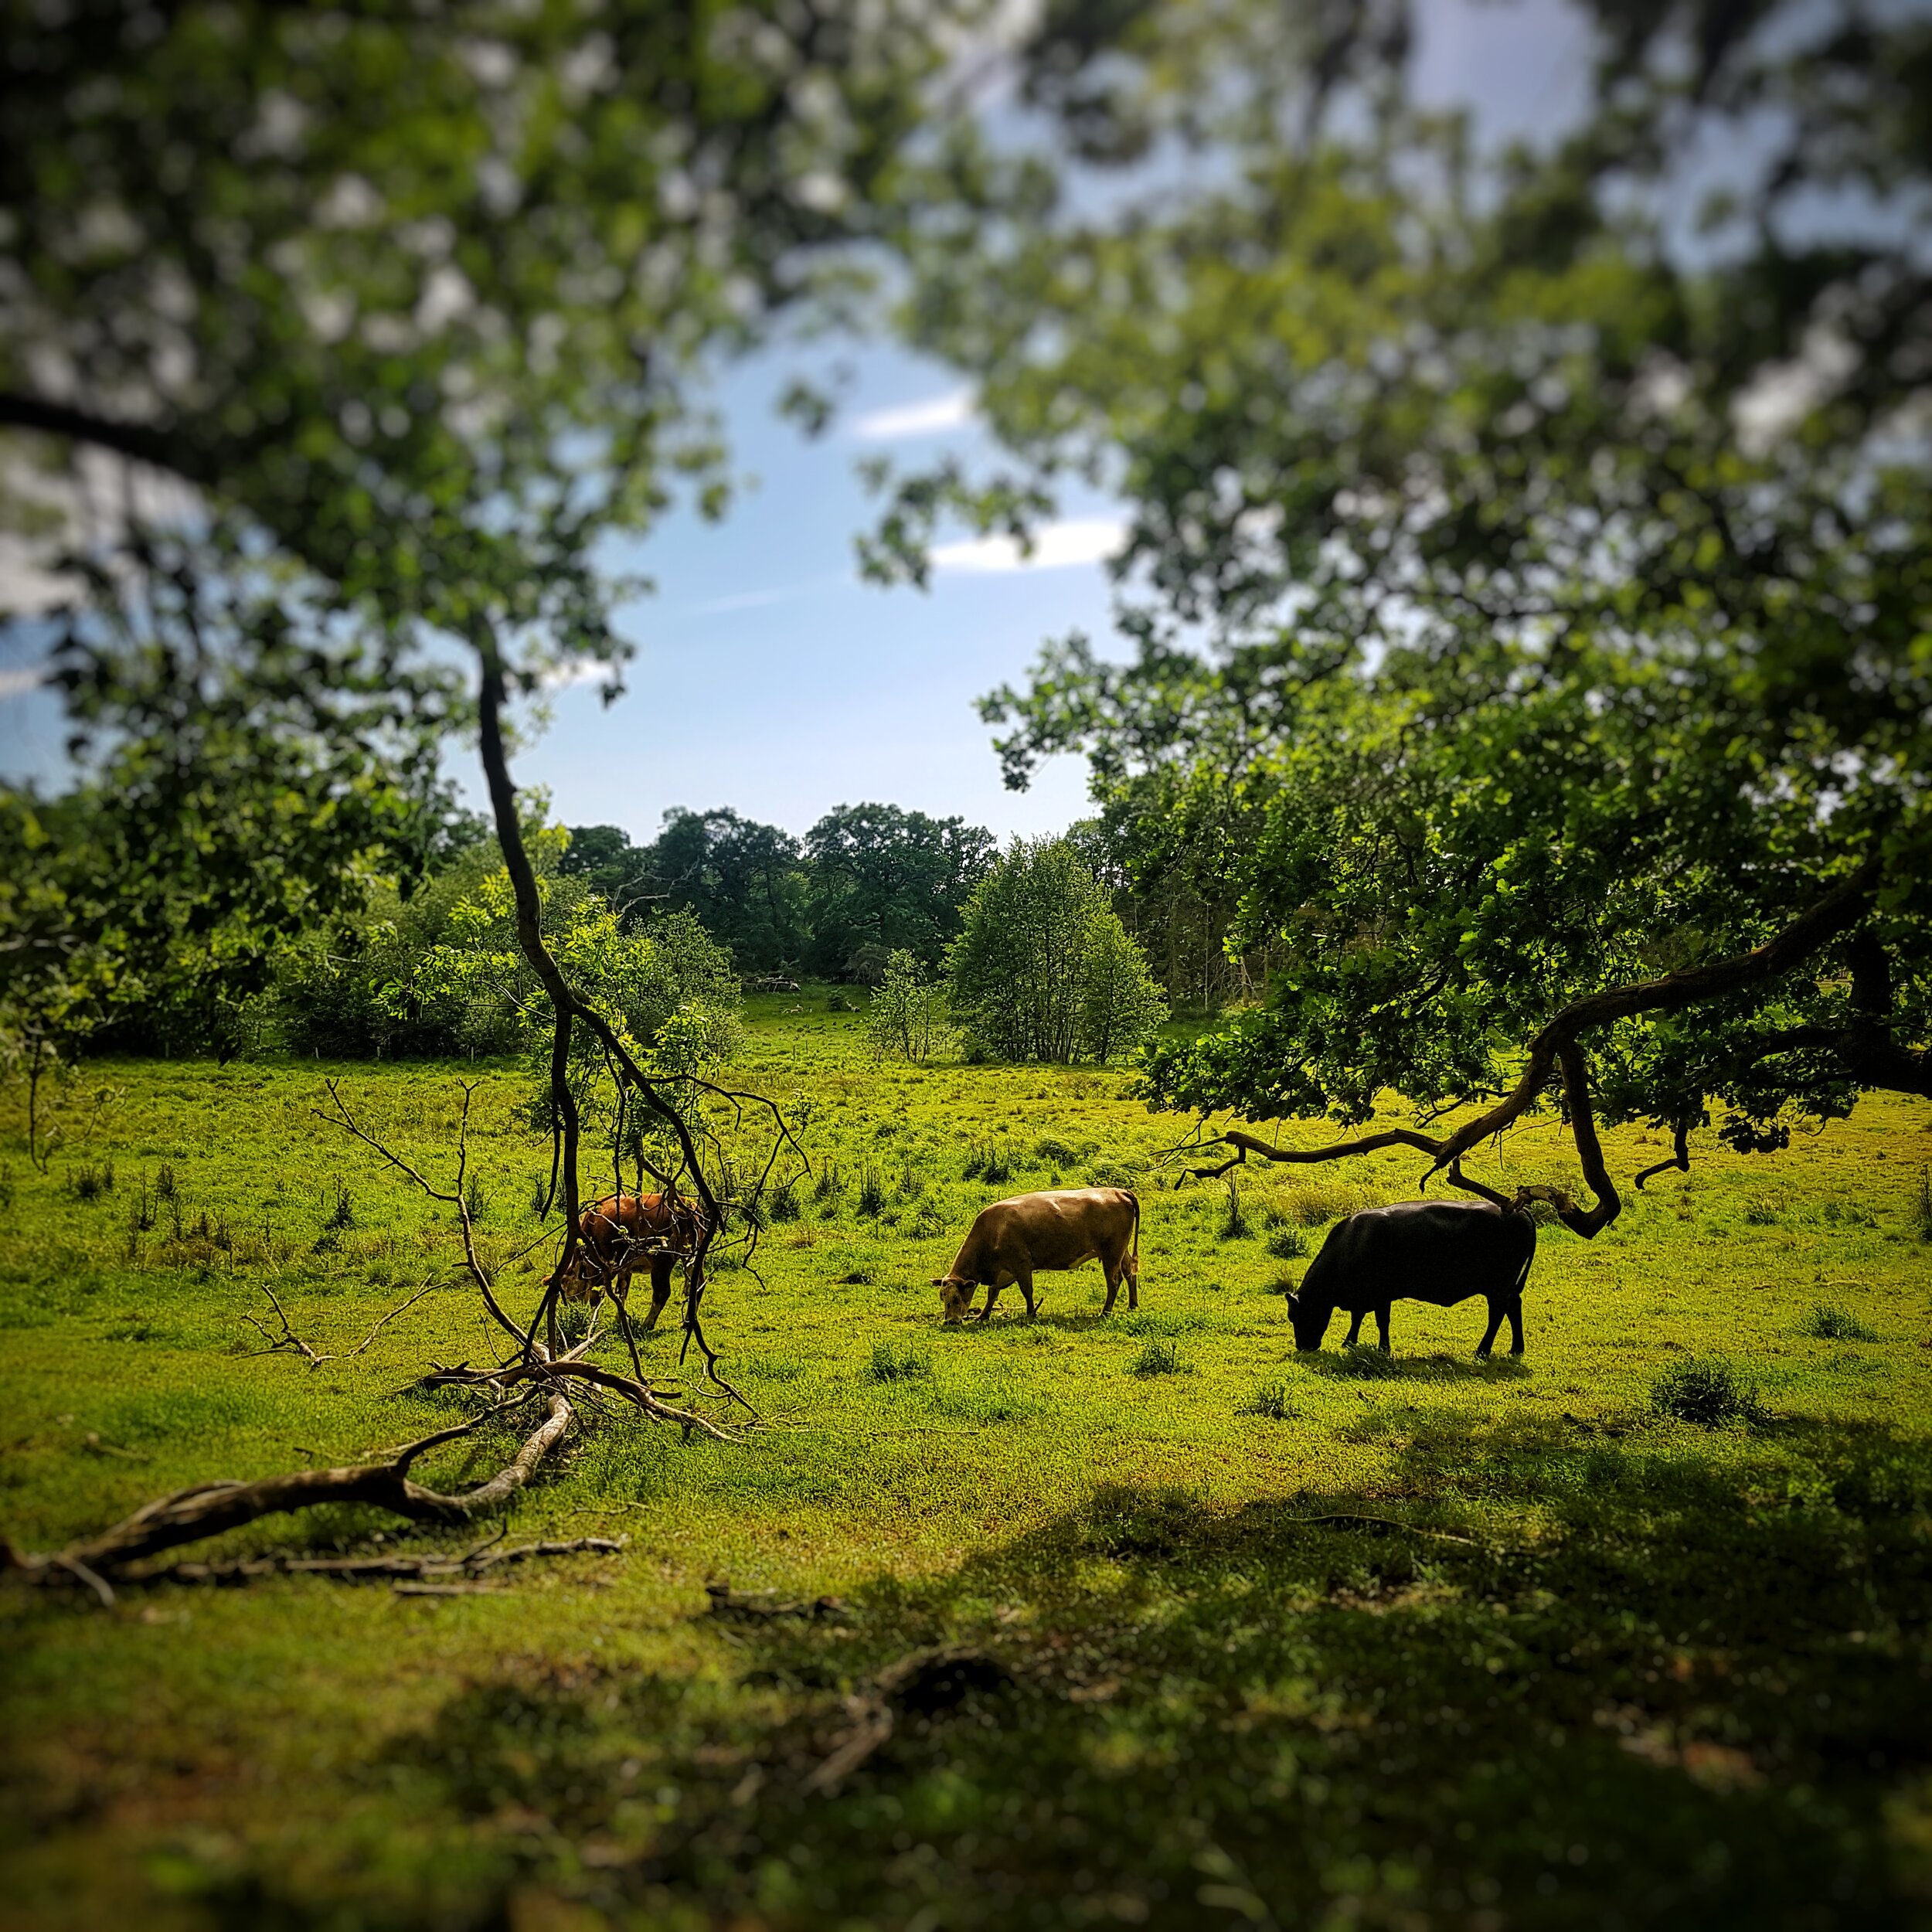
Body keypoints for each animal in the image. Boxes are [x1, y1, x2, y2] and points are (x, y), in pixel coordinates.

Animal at [553, 1182, 703, 1337]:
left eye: (566, 1289)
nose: (572, 1309)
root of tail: (686, 1204)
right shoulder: (624, 1267)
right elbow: (622, 1292)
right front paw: (620, 1319)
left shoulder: (599, 1266)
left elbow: (597, 1293)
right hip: (692, 1255)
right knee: (697, 1285)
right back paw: (687, 1322)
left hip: (661, 1260)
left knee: (662, 1292)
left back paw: (647, 1324)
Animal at [931, 1182, 1136, 1321]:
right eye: (942, 1296)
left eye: (956, 1298)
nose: (950, 1321)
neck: (995, 1230)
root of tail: (1118, 1191)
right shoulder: (1001, 1272)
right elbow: (992, 1294)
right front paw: (983, 1315)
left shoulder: (1022, 1265)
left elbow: (1027, 1291)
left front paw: (1031, 1313)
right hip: (1122, 1252)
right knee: (1130, 1272)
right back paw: (1132, 1305)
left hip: (1111, 1254)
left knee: (1114, 1281)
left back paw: (1106, 1311)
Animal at [1283, 1198, 1538, 1352]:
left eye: (1296, 1316)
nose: (1303, 1346)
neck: (1351, 1242)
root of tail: (1518, 1210)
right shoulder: (1363, 1297)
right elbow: (1358, 1318)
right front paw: (1349, 1342)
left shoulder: (1381, 1295)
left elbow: (1381, 1321)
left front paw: (1383, 1348)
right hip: (1505, 1287)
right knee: (1513, 1307)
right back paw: (1516, 1348)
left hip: (1498, 1286)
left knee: (1498, 1313)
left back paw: (1483, 1350)